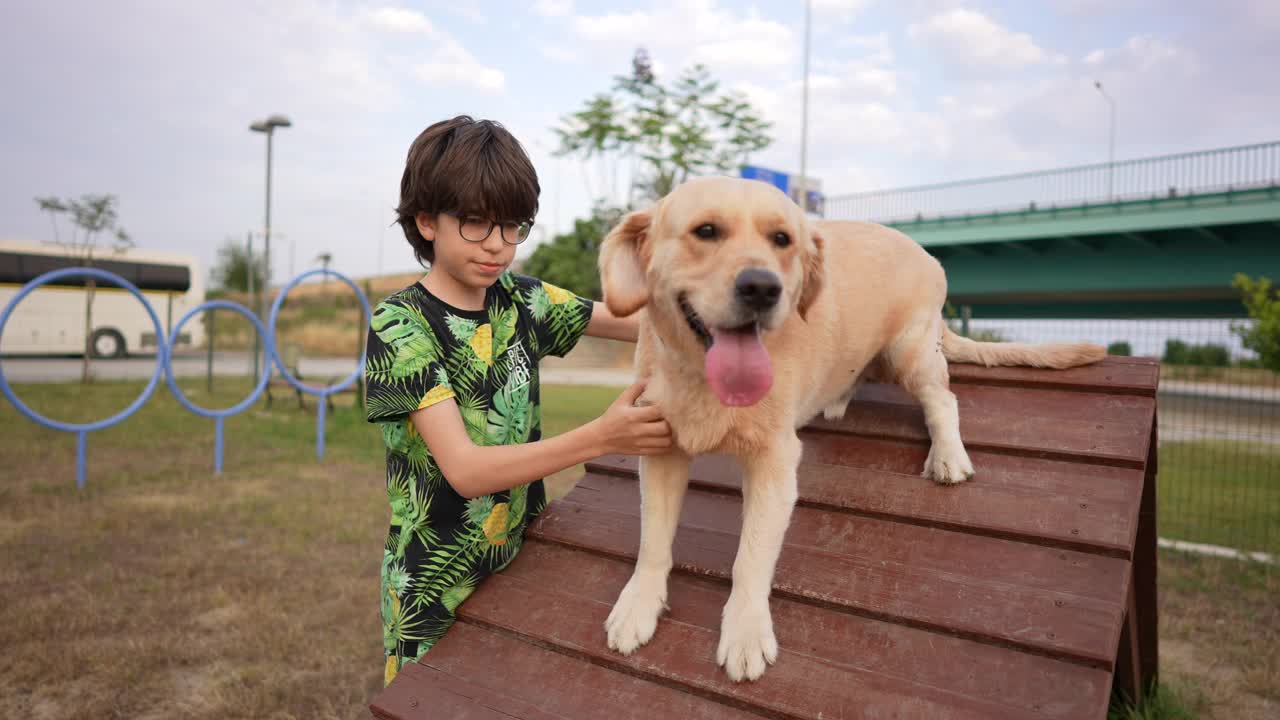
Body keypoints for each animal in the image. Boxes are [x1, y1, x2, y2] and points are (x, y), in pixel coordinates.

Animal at [593, 174, 1105, 676]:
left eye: (782, 239)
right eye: (706, 231)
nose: (763, 288)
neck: (703, 379)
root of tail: (926, 253)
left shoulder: (775, 464)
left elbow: (751, 558)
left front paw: (746, 631)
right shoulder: (661, 447)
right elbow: (653, 541)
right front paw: (638, 606)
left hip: (910, 352)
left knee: (944, 400)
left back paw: (948, 455)